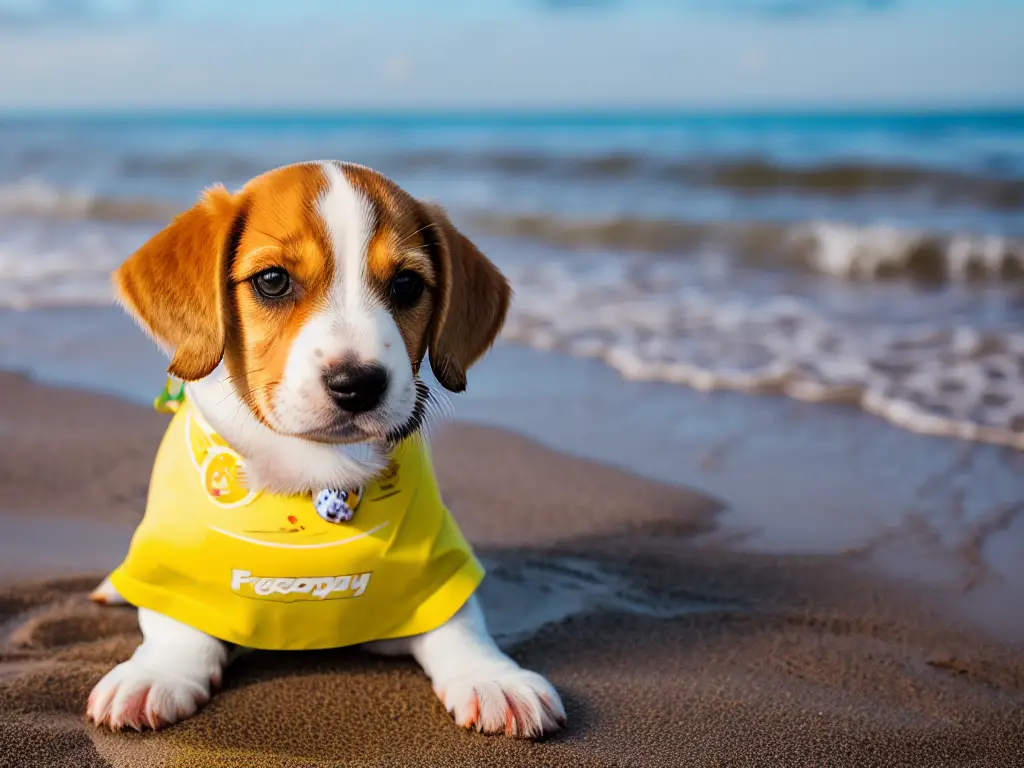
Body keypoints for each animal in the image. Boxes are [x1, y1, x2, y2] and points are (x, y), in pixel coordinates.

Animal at [86, 160, 569, 741]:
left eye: (407, 284)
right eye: (272, 280)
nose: (357, 384)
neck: (314, 474)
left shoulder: (437, 571)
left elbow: (461, 622)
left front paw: (493, 677)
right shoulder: (179, 567)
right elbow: (178, 623)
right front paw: (156, 673)